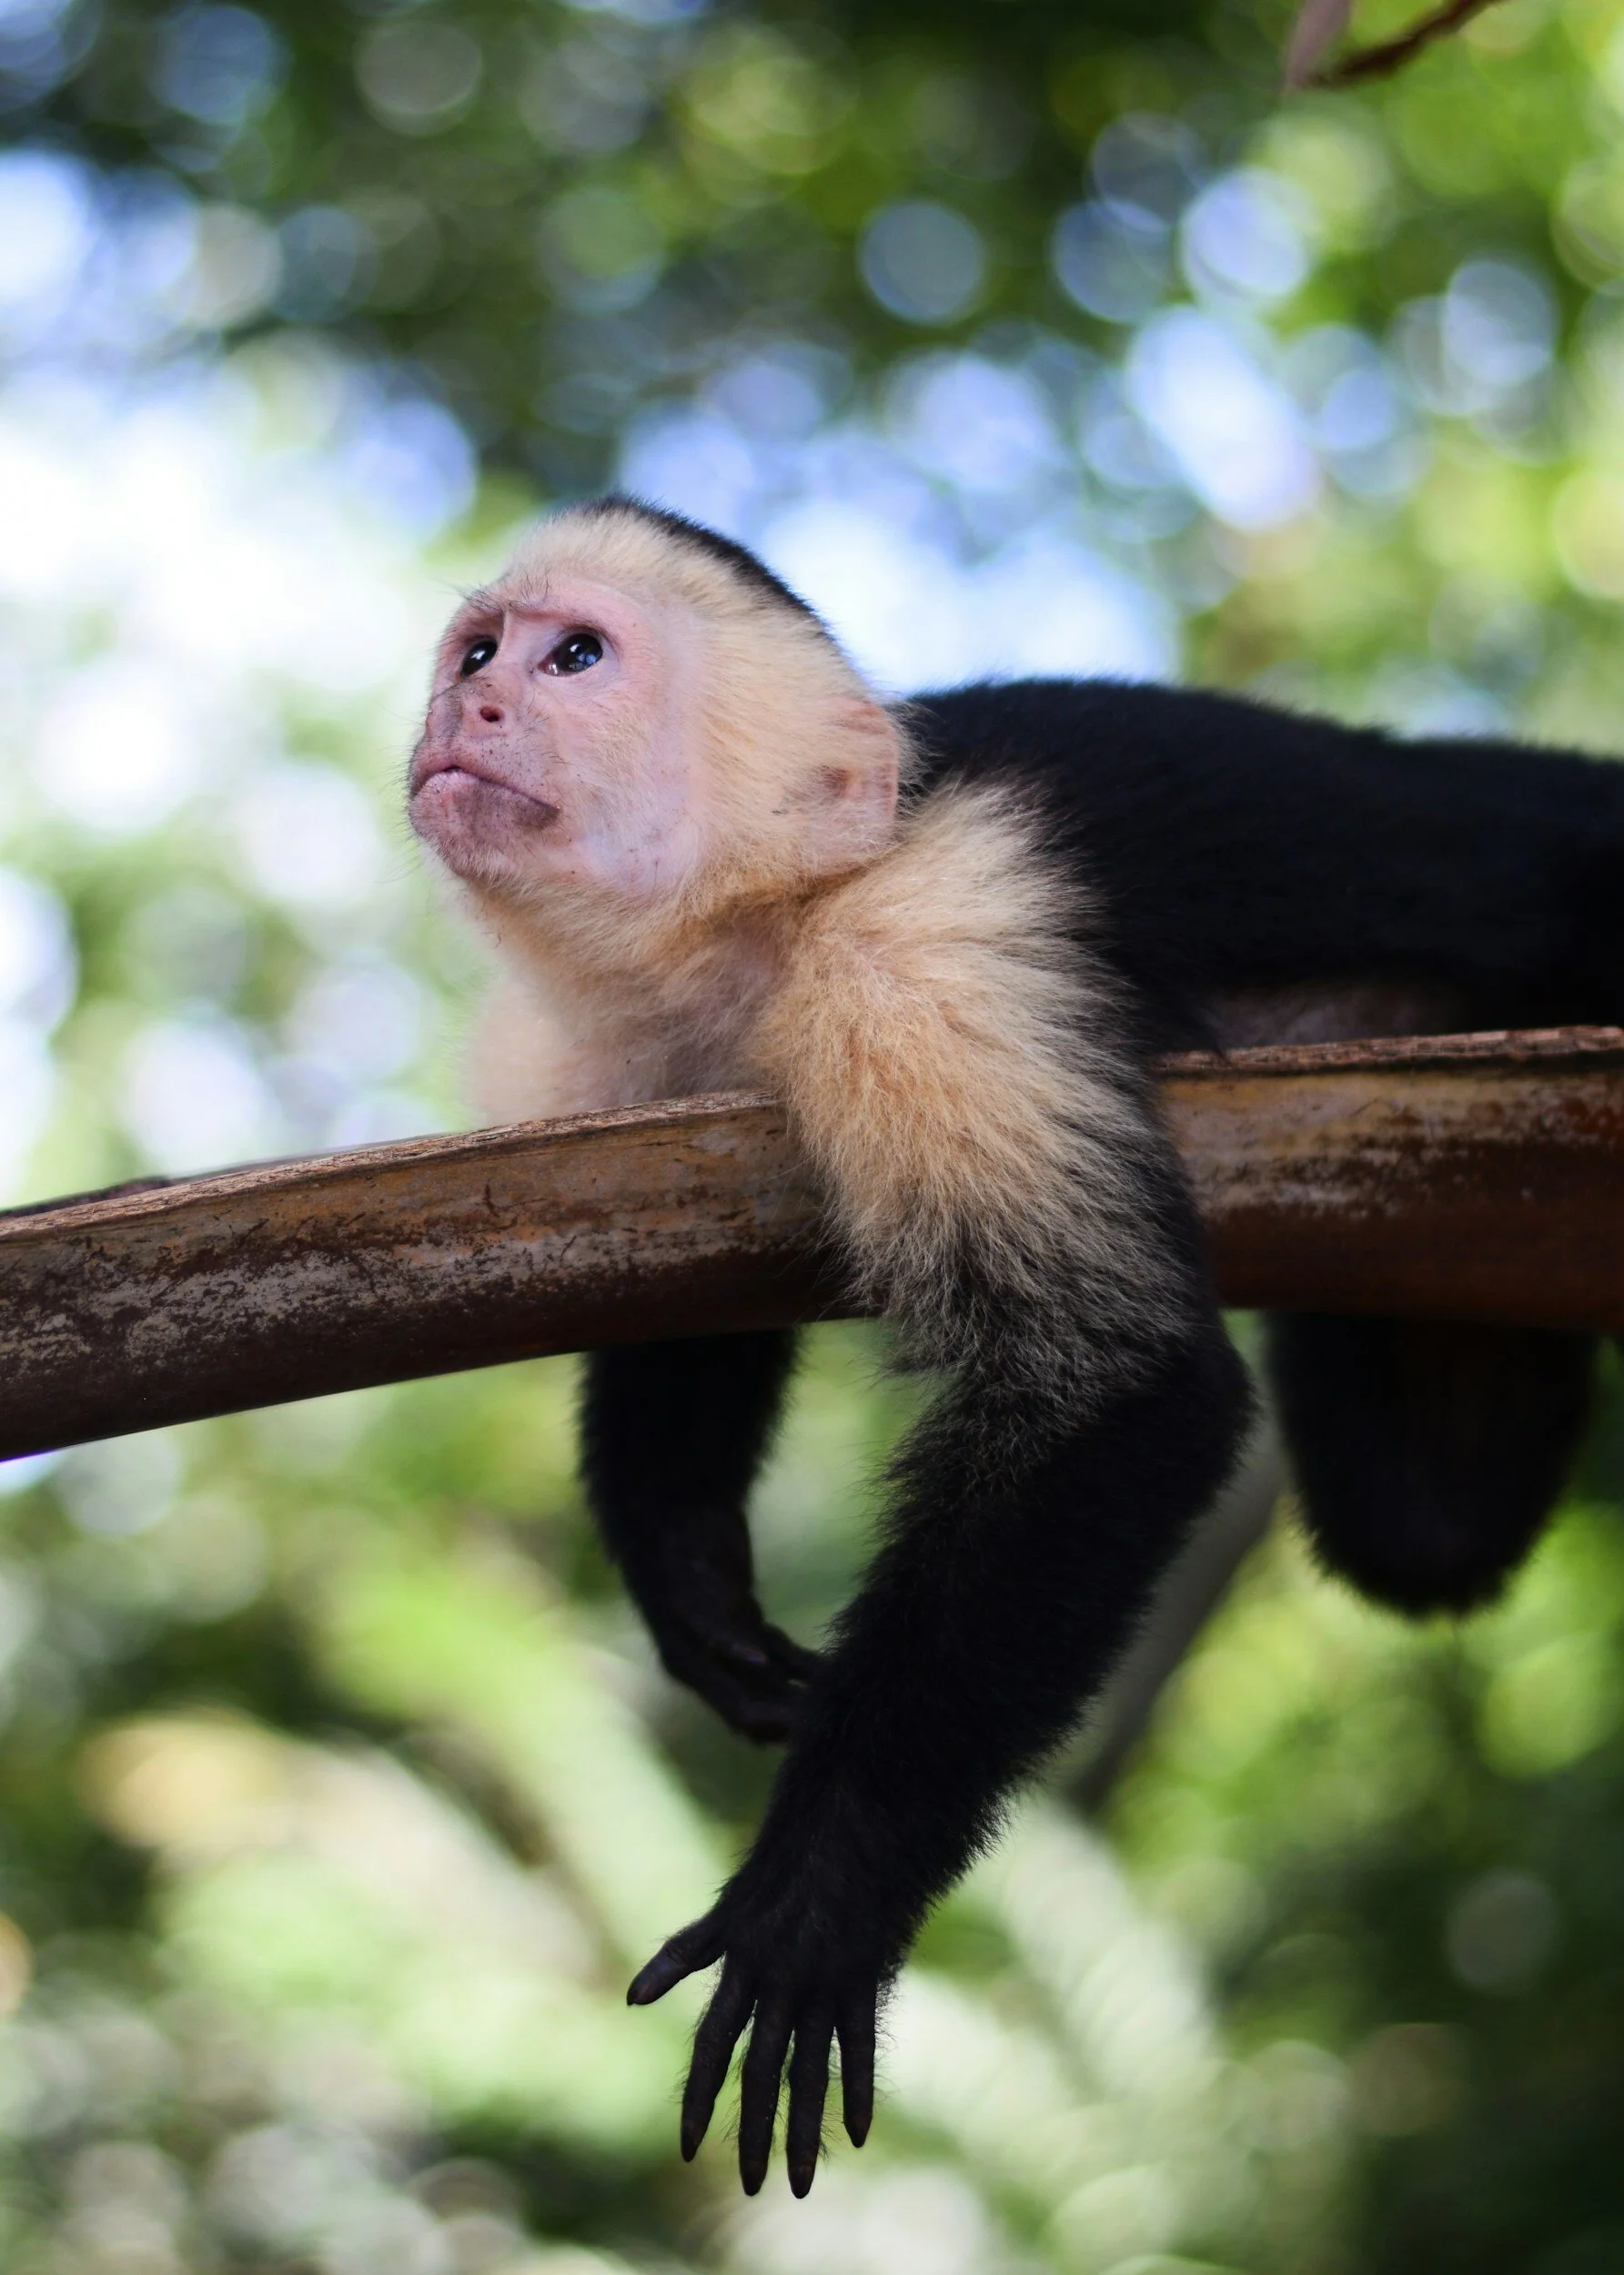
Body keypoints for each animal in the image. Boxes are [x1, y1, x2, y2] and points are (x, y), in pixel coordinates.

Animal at [407, 496, 1620, 2197]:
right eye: (478, 651)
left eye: (575, 655)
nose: (474, 709)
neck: (766, 927)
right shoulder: (627, 1071)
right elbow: (660, 1296)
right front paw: (690, 1574)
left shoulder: (924, 952)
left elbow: (1122, 1385)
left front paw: (822, 1903)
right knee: (1424, 1522)